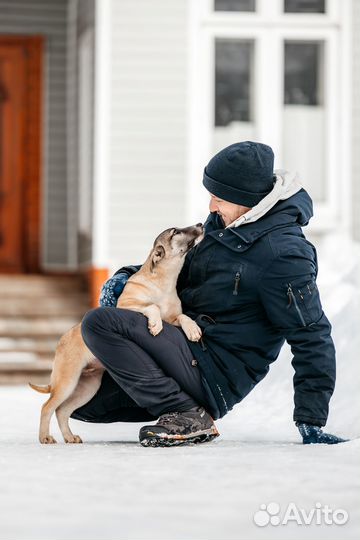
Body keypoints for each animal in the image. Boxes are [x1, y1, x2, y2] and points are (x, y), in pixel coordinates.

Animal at [30, 224, 205, 442]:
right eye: (175, 232)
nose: (200, 224)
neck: (162, 281)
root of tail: (61, 341)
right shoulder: (125, 306)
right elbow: (152, 307)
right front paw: (155, 325)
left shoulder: (173, 318)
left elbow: (182, 317)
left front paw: (193, 329)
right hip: (67, 380)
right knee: (47, 407)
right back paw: (45, 438)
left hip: (87, 386)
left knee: (62, 410)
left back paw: (70, 437)